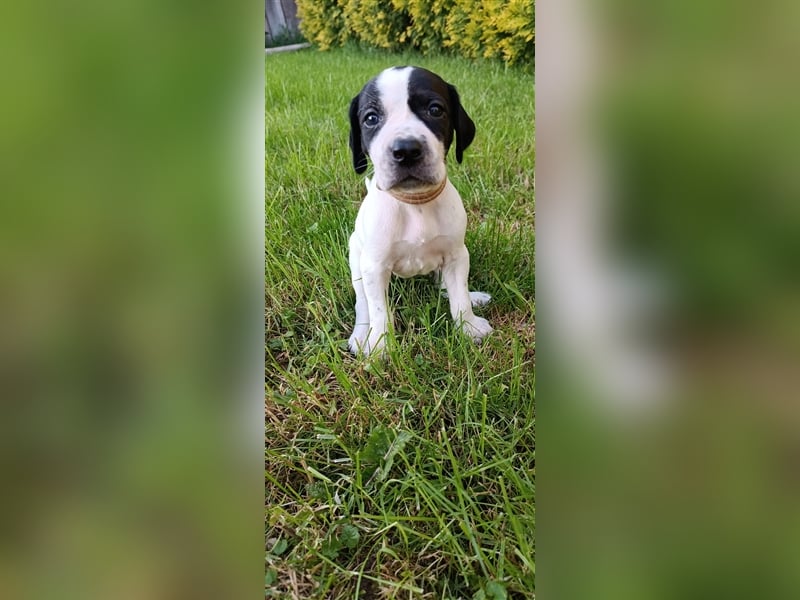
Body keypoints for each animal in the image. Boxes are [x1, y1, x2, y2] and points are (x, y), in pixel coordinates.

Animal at [346, 65, 490, 356]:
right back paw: (361, 334)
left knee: (445, 286)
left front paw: (469, 327)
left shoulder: (457, 256)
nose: (406, 150)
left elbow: (459, 297)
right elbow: (379, 311)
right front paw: (381, 346)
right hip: (357, 262)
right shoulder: (374, 267)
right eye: (371, 118)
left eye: (435, 110)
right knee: (363, 304)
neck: (414, 203)